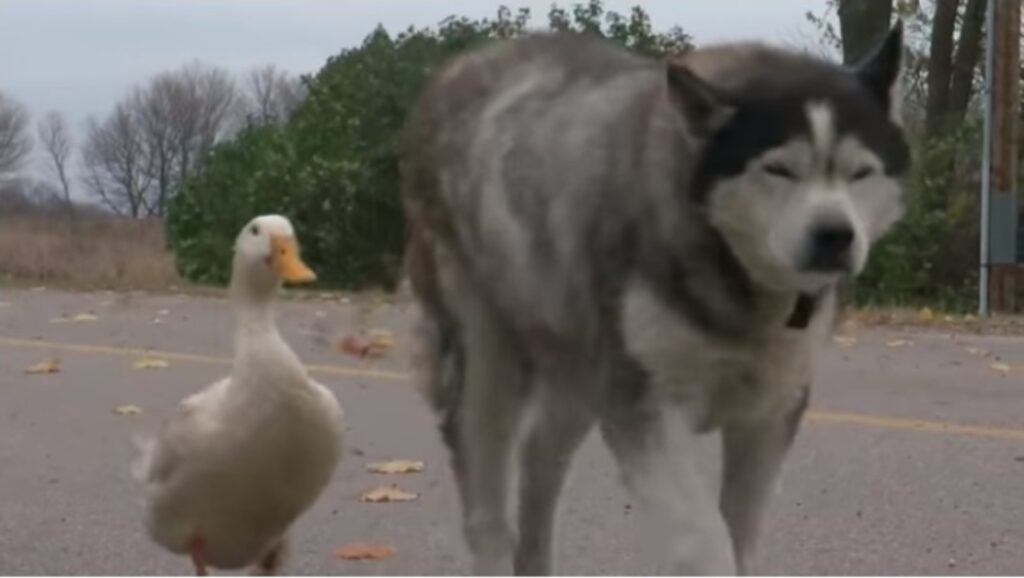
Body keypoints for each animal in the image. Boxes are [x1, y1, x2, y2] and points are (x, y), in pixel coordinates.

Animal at [403, 20, 909, 573]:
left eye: (861, 172)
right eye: (779, 170)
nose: (835, 235)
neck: (732, 273)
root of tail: (457, 67)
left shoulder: (771, 410)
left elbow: (741, 532)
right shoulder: (642, 403)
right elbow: (704, 537)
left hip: (578, 357)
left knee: (540, 462)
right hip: (487, 359)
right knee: (487, 511)